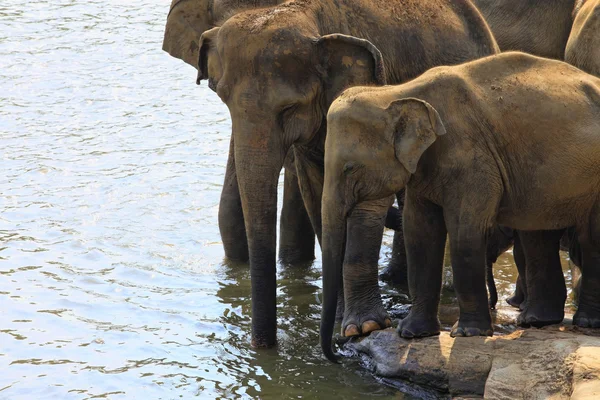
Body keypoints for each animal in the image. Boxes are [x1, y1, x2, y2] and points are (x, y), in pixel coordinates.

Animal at [197, 0, 496, 348]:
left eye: (289, 108)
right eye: (224, 101)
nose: (266, 348)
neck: (310, 17)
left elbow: (370, 199)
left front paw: (363, 327)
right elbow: (316, 195)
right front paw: (342, 320)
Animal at [322, 51, 600, 360]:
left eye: (349, 168)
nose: (337, 353)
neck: (399, 92)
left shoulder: (472, 158)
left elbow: (464, 230)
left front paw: (468, 333)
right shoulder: (424, 169)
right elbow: (419, 233)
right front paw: (411, 333)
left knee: (590, 237)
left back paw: (586, 322)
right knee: (538, 236)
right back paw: (536, 321)